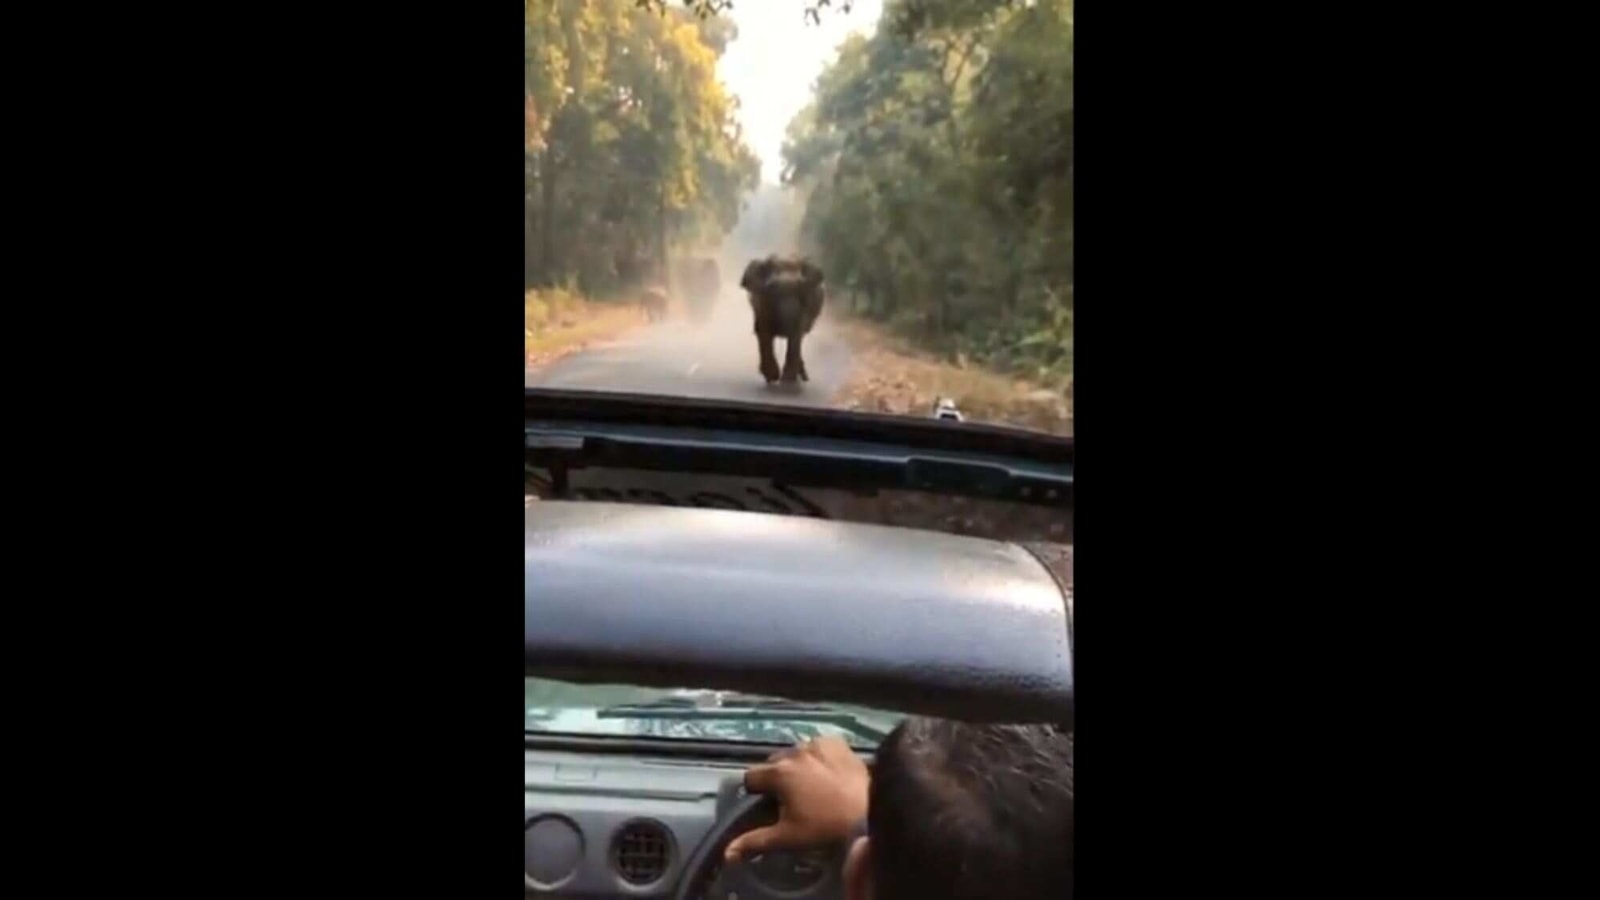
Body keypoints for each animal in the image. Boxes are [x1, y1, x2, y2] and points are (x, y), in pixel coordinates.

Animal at [736, 254, 825, 384]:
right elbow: (764, 332)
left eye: (801, 289)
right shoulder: (762, 301)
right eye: (772, 288)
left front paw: (787, 380)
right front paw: (772, 377)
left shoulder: (805, 308)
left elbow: (796, 336)